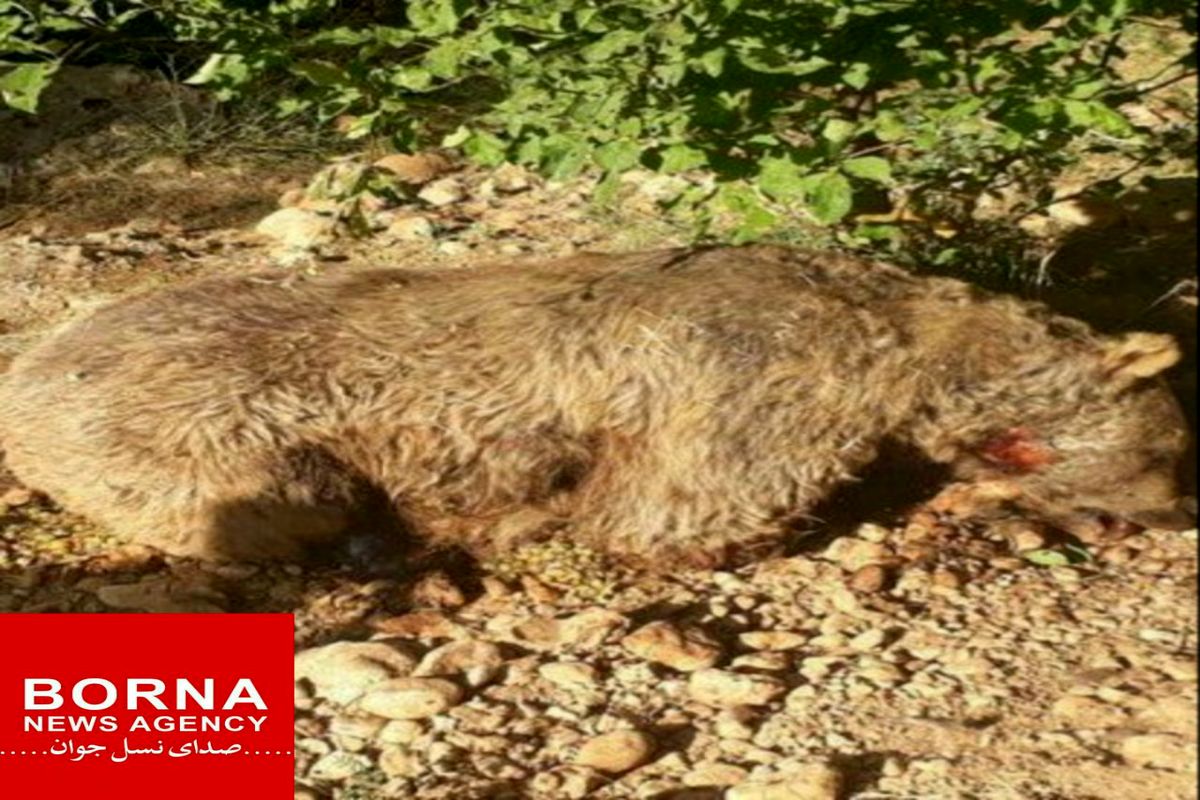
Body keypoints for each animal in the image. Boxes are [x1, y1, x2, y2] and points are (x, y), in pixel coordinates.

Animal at [0, 247, 1190, 566]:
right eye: (1180, 451)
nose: (1180, 517)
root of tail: (26, 370)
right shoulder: (751, 417)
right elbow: (664, 521)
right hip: (225, 453)